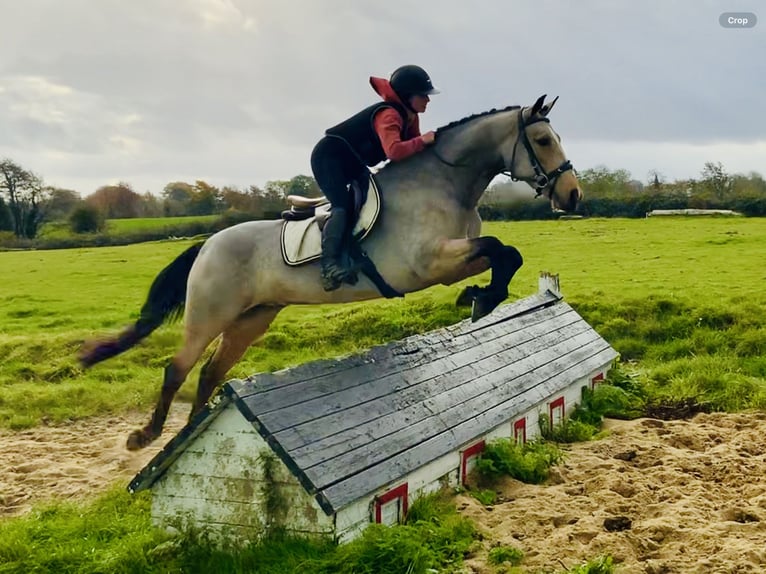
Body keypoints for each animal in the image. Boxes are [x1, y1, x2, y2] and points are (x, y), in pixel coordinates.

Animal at [79, 93, 584, 450]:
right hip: (210, 313)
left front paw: (480, 297)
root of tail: (208, 242)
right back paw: (146, 437)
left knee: (208, 373)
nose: (573, 195)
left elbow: (506, 254)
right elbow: (500, 249)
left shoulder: (452, 260)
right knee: (177, 368)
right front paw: (481, 299)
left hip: (251, 319)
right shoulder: (428, 263)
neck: (444, 182)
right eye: (543, 141)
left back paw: (188, 435)